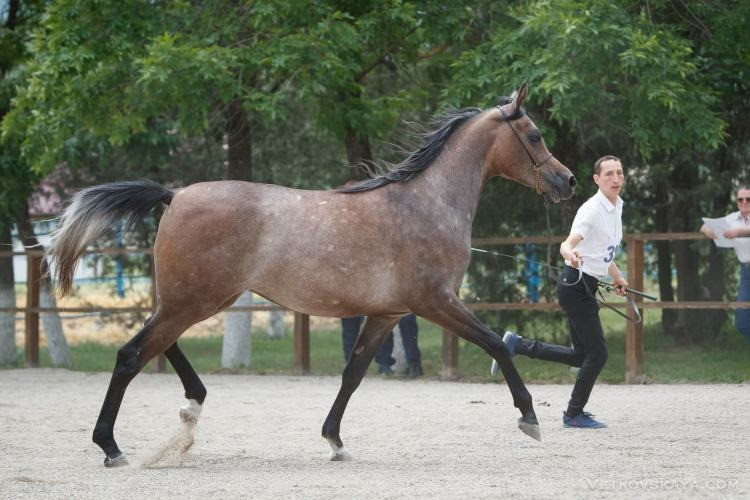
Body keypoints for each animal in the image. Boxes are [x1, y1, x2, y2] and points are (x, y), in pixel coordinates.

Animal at [48, 84, 576, 466]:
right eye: (534, 135)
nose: (567, 180)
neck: (427, 203)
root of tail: (174, 195)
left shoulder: (387, 314)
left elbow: (353, 374)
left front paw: (334, 442)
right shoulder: (437, 302)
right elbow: (496, 345)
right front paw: (530, 417)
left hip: (192, 299)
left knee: (158, 344)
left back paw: (191, 405)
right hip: (196, 299)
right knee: (132, 354)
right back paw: (112, 446)